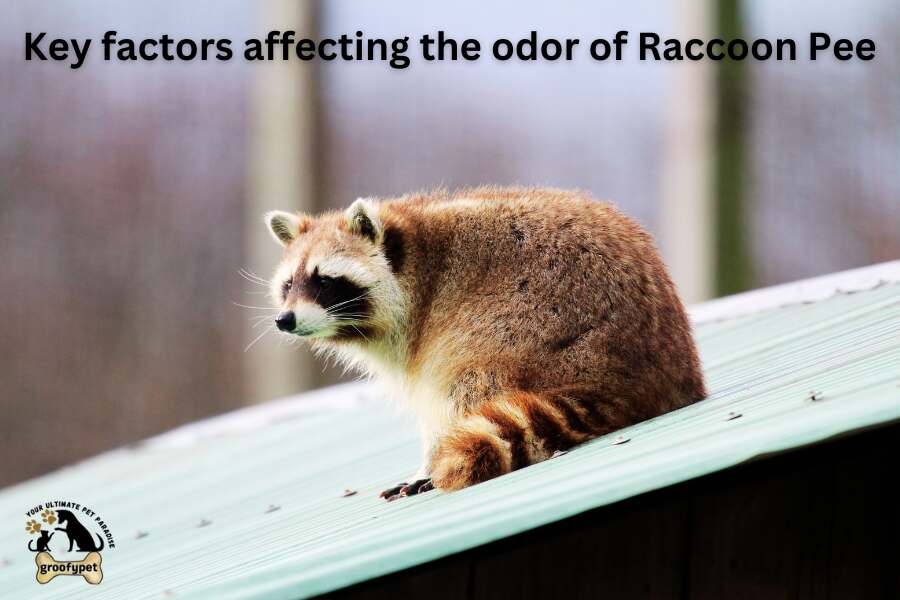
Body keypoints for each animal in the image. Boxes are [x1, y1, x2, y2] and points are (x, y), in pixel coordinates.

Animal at [265, 187, 706, 499]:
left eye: (324, 281)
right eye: (288, 285)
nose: (284, 320)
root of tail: (633, 378)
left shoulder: (427, 321)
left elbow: (440, 396)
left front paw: (427, 459)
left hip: (529, 320)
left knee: (470, 376)